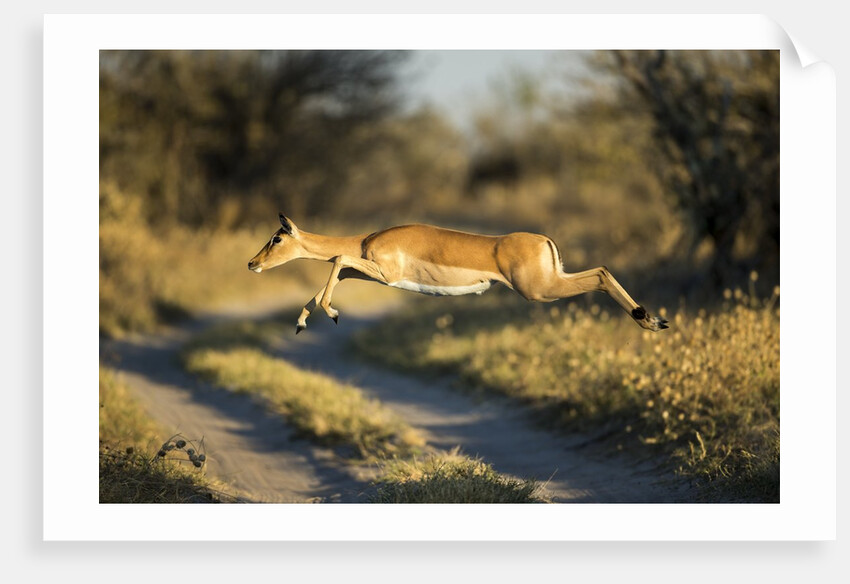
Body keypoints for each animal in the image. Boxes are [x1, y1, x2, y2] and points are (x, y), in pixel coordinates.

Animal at [248, 213, 669, 334]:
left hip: (540, 290)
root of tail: (544, 240)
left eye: (276, 238)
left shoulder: (384, 272)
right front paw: (303, 321)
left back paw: (650, 321)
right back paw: (654, 319)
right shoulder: (370, 273)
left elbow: (336, 259)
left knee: (600, 273)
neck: (368, 238)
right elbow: (337, 269)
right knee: (602, 269)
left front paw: (333, 314)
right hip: (551, 282)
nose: (252, 263)